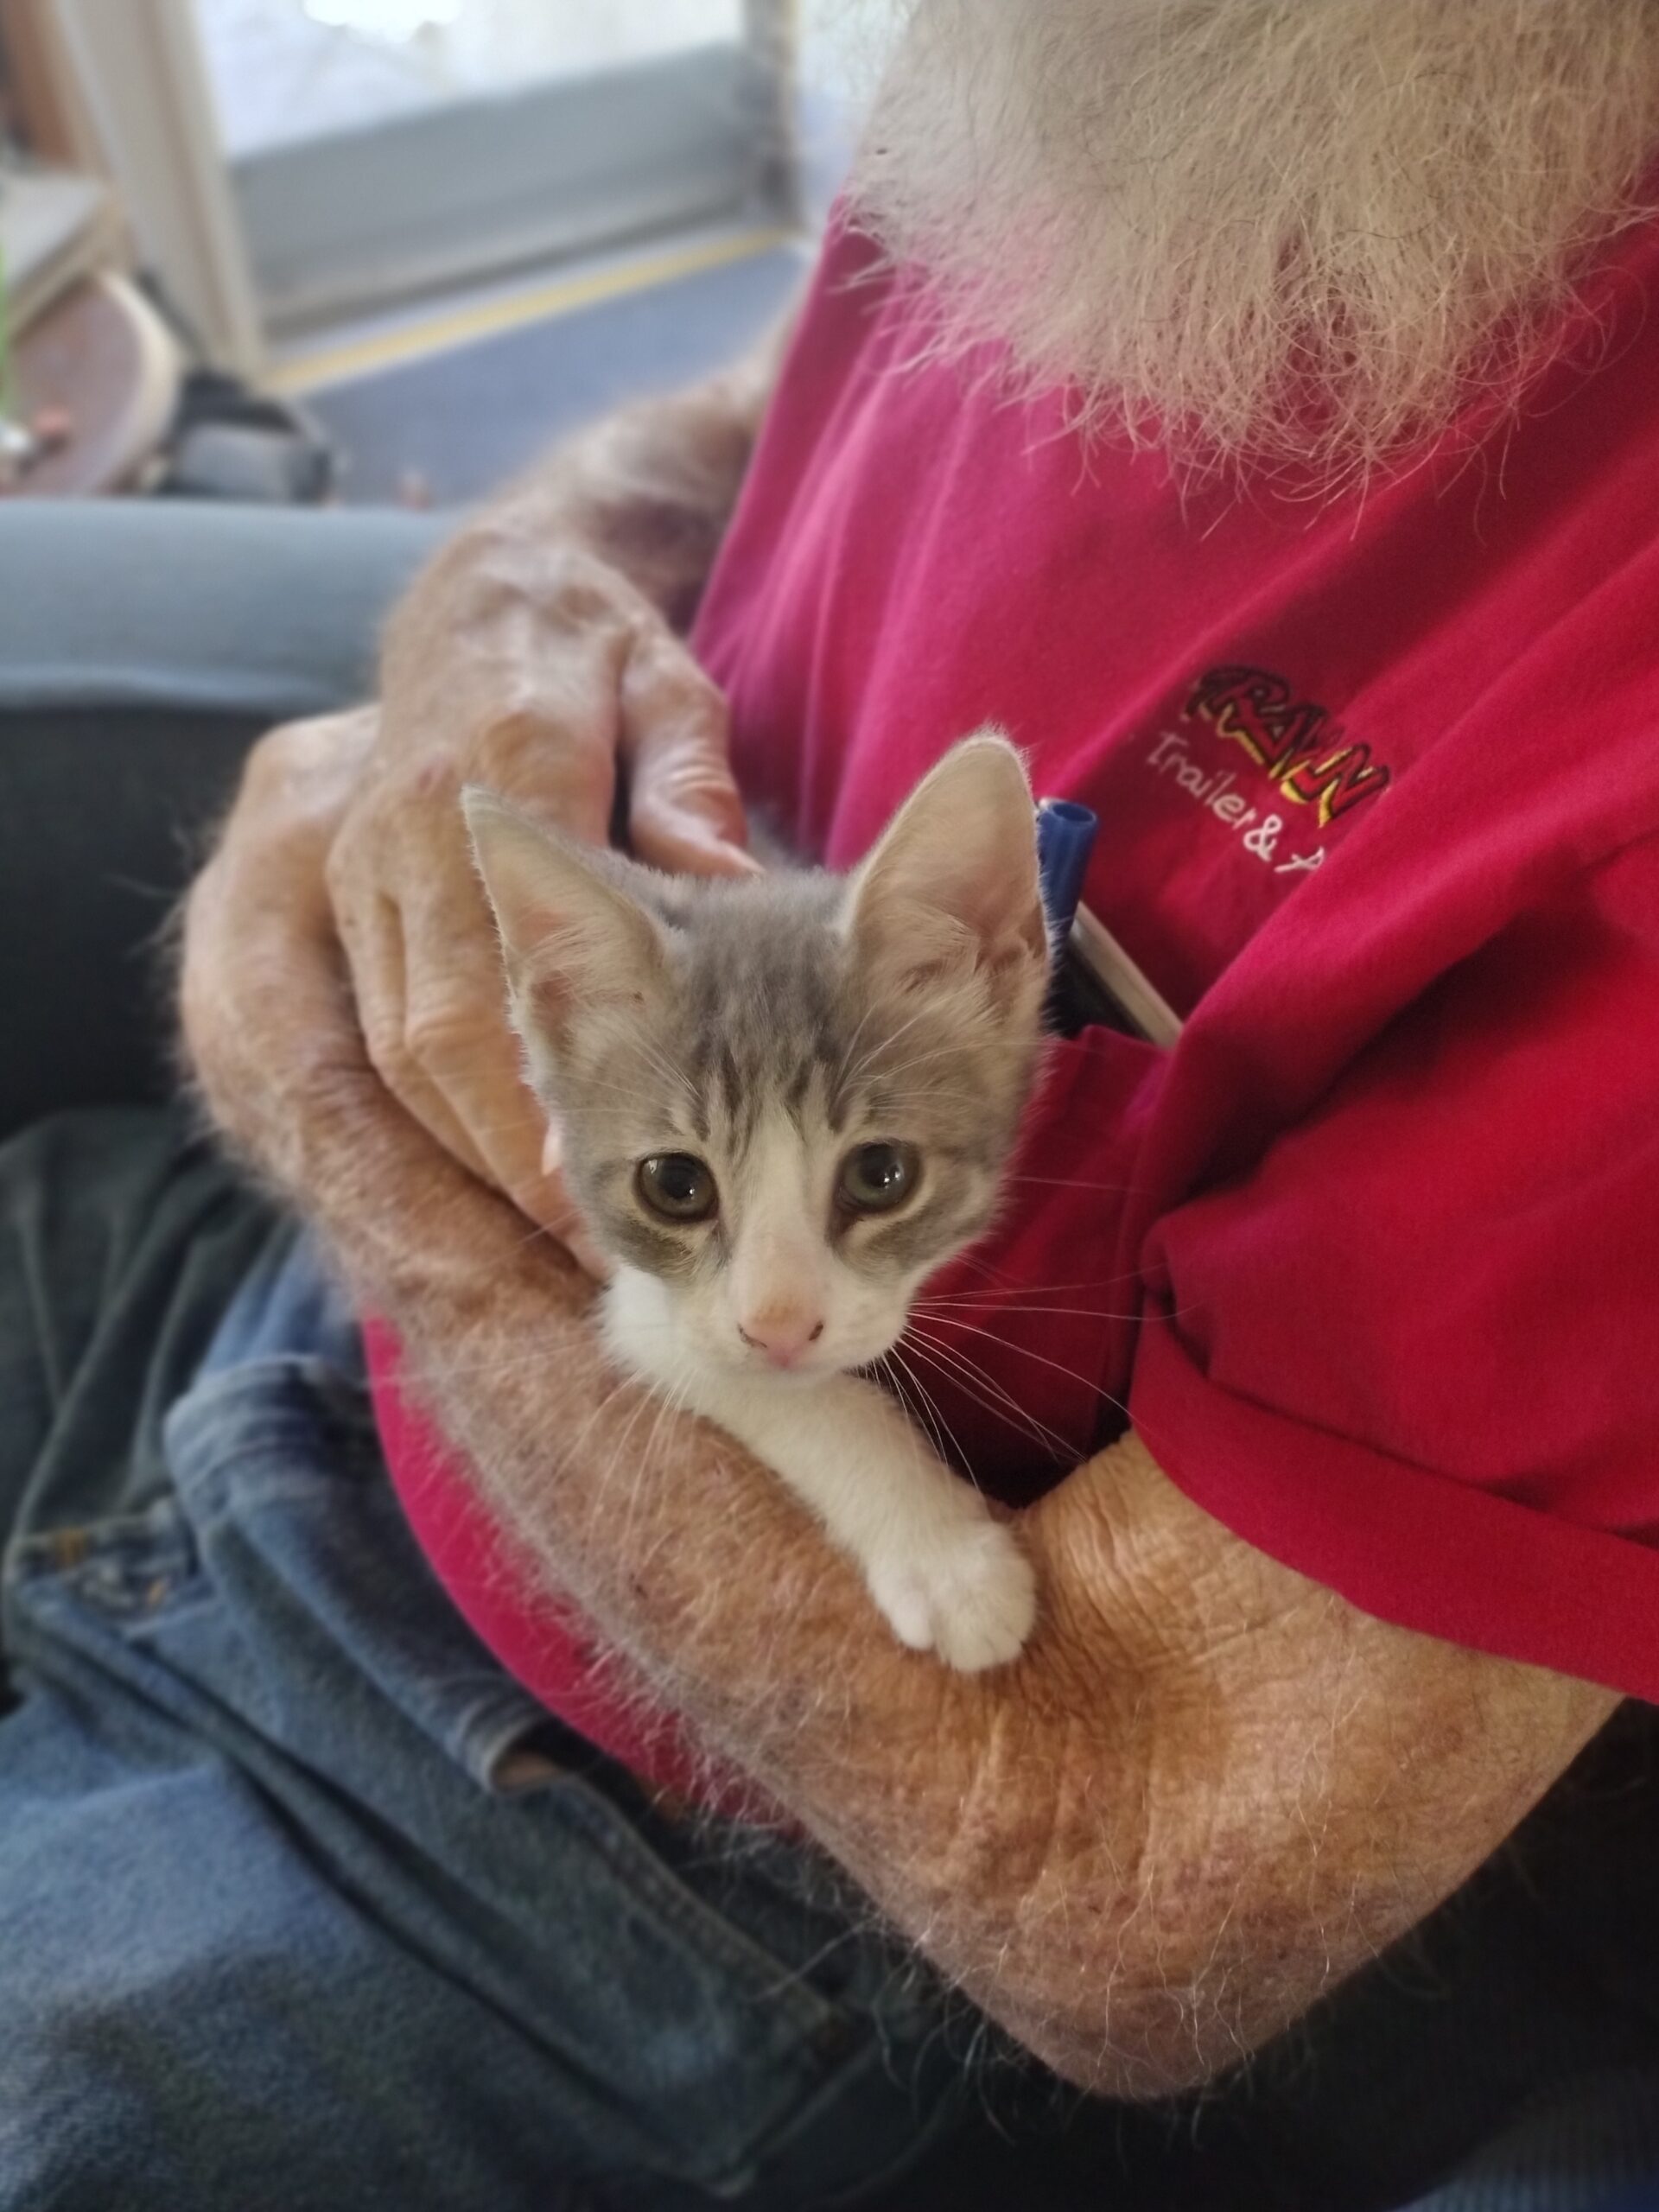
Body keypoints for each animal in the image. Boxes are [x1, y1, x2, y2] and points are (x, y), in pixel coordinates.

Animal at [462, 734, 1051, 1671]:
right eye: (675, 1186)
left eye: (880, 1174)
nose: (778, 1327)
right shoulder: (651, 1310)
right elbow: (793, 1393)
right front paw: (948, 1559)